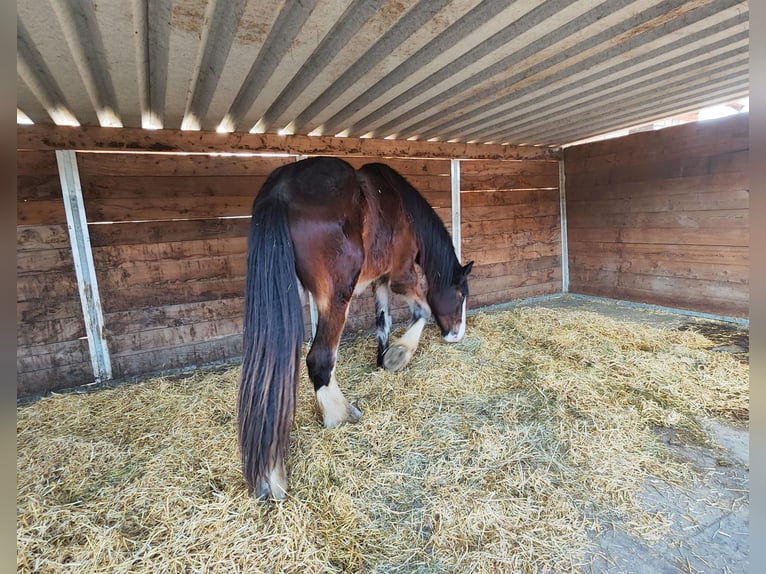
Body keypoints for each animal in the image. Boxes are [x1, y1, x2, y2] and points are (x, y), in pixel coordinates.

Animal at [238, 156, 473, 499]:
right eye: (460, 294)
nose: (457, 335)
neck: (401, 206)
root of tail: (280, 191)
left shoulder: (381, 280)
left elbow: (383, 320)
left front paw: (382, 358)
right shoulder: (401, 275)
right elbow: (424, 310)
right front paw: (399, 355)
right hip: (337, 297)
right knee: (320, 359)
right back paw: (339, 416)